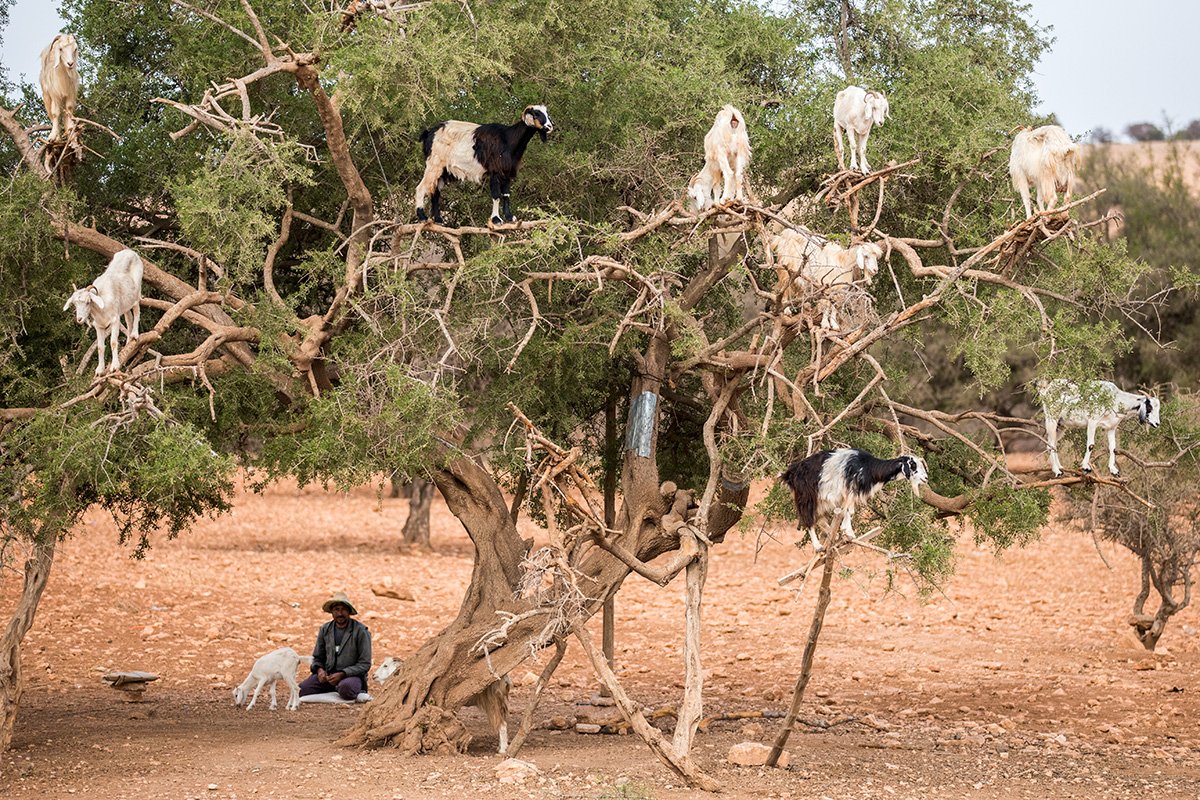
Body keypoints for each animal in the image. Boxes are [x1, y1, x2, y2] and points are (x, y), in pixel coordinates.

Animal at [375, 655, 512, 754]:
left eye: (385, 665)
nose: (373, 676)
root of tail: (505, 678)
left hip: (492, 700)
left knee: (502, 724)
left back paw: (502, 750)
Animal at [414, 105, 554, 226]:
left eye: (547, 113)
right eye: (536, 113)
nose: (549, 126)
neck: (508, 138)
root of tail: (429, 133)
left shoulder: (506, 172)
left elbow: (506, 194)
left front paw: (509, 217)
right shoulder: (495, 171)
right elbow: (496, 195)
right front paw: (496, 219)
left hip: (443, 170)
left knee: (435, 191)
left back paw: (438, 220)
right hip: (434, 164)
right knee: (421, 187)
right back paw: (422, 217)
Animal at [780, 449, 927, 553]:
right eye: (913, 465)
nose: (926, 478)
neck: (869, 467)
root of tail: (790, 473)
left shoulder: (850, 493)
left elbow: (848, 511)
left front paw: (847, 532)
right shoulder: (850, 489)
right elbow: (849, 511)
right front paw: (848, 532)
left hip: (819, 500)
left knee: (820, 519)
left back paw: (832, 535)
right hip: (806, 496)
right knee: (808, 519)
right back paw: (818, 546)